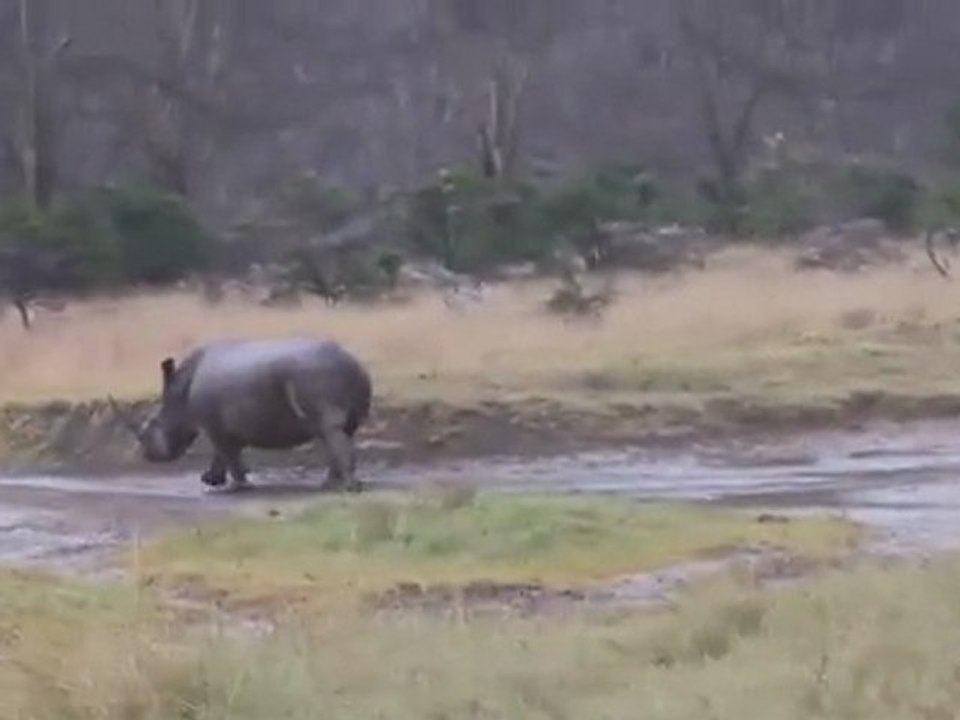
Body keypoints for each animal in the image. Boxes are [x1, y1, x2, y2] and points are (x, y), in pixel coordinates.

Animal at [109, 337, 373, 493]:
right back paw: (331, 485)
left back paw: (347, 488)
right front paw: (211, 480)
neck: (179, 395)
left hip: (317, 377)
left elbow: (227, 452)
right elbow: (224, 452)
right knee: (341, 431)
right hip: (336, 378)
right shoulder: (221, 424)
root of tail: (353, 362)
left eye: (153, 424)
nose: (148, 456)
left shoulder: (213, 425)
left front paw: (237, 486)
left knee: (330, 430)